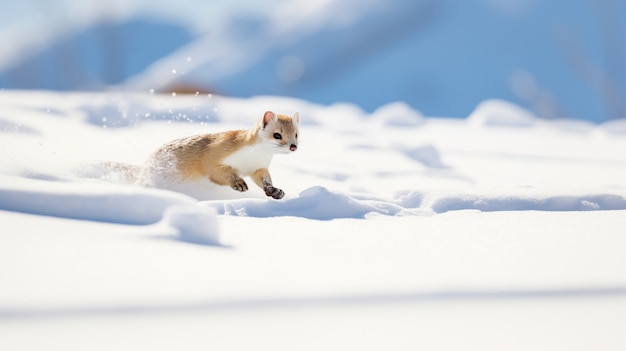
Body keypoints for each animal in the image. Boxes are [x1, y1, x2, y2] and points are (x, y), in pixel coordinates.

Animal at [140, 111, 298, 199]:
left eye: (296, 134)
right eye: (277, 135)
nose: (293, 146)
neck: (251, 158)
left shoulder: (258, 167)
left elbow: (264, 180)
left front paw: (275, 191)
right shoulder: (215, 154)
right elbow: (216, 171)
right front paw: (239, 183)